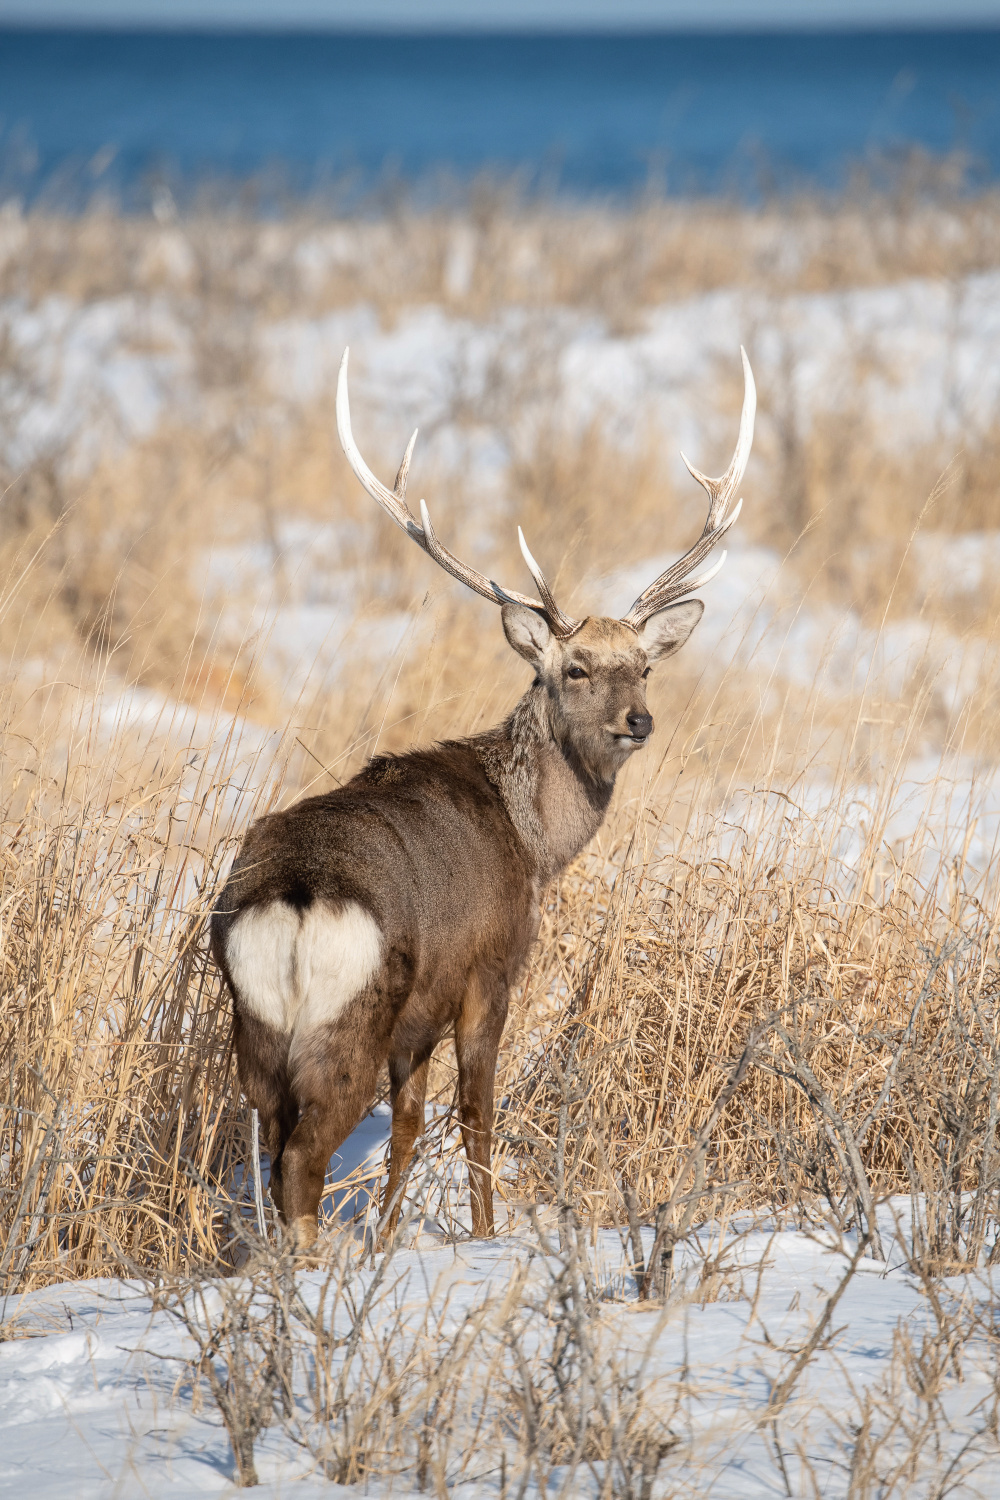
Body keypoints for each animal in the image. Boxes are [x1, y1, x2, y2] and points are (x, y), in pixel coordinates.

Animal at [212, 345, 758, 1248]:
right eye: (576, 669)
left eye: (643, 665)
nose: (640, 720)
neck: (533, 844)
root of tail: (295, 898)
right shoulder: (489, 971)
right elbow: (475, 1114)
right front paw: (483, 1237)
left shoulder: (419, 1019)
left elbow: (406, 1126)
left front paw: (390, 1238)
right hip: (349, 1020)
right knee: (302, 1157)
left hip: (255, 1029)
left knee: (270, 1141)